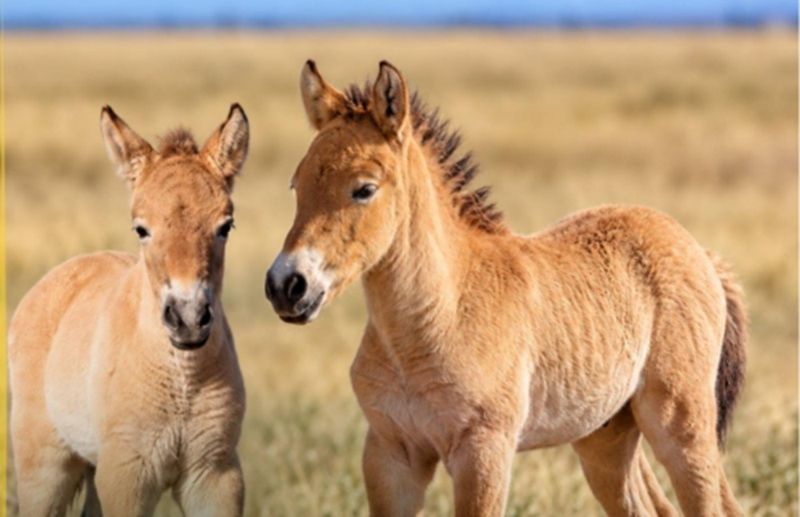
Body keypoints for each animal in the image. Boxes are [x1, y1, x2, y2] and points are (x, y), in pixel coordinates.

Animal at [8, 104, 249, 516]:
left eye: (226, 226)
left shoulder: (215, 475)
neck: (182, 381)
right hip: (45, 468)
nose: (188, 319)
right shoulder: (128, 476)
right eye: (141, 228)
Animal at [265, 60, 747, 516]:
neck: (436, 320)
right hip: (605, 437)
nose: (286, 285)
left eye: (364, 189)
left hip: (681, 426)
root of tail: (701, 253)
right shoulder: (390, 453)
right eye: (296, 184)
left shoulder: (483, 451)